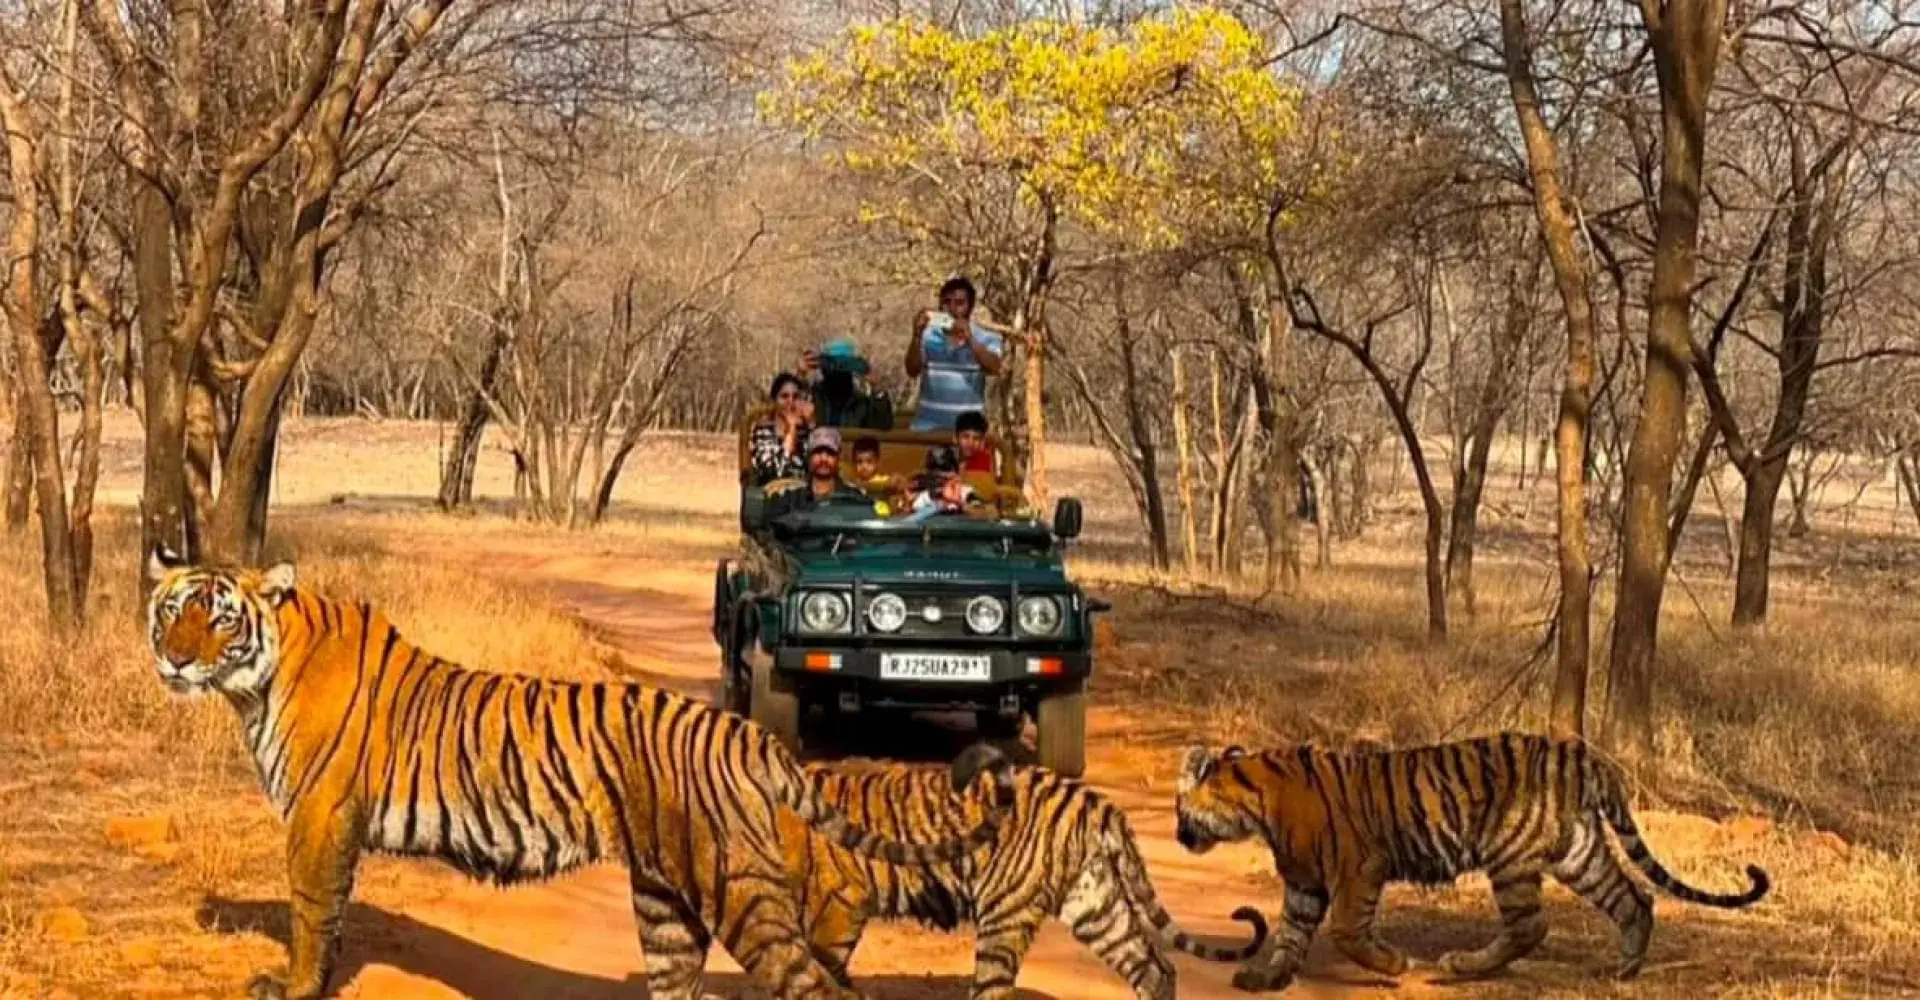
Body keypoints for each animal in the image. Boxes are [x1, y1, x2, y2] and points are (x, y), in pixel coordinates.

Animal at [144, 549, 1015, 1000]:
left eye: (218, 618)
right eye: (171, 612)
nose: (175, 661)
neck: (255, 680)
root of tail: (740, 729)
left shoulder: (318, 818)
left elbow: (310, 914)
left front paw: (293, 986)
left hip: (738, 892)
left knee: (819, 986)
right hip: (666, 902)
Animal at [783, 742, 1269, 999]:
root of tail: (1093, 801)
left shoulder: (838, 906)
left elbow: (822, 968)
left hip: (1006, 912)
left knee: (992, 987)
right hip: (1095, 904)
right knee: (1155, 966)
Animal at [1174, 733, 1771, 991]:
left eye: (1181, 810)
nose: (1178, 837)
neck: (1255, 804)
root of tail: (1584, 756)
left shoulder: (1358, 867)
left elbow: (1345, 930)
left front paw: (1394, 966)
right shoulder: (1304, 881)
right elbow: (1291, 932)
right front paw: (1267, 976)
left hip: (1509, 855)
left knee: (1530, 926)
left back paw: (1458, 967)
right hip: (1577, 853)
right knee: (1634, 898)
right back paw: (1623, 970)